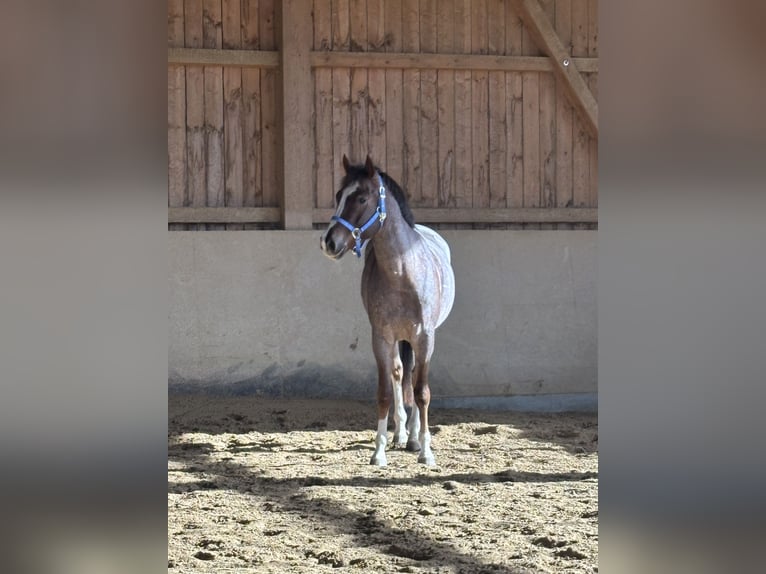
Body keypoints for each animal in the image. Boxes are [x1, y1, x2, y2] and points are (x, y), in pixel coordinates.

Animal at [320, 155, 455, 466]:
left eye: (361, 198)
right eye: (338, 195)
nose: (329, 242)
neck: (403, 271)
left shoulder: (425, 337)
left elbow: (422, 392)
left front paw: (426, 452)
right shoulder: (381, 337)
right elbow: (384, 391)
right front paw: (379, 452)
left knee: (413, 376)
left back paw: (414, 438)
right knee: (398, 373)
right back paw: (401, 435)